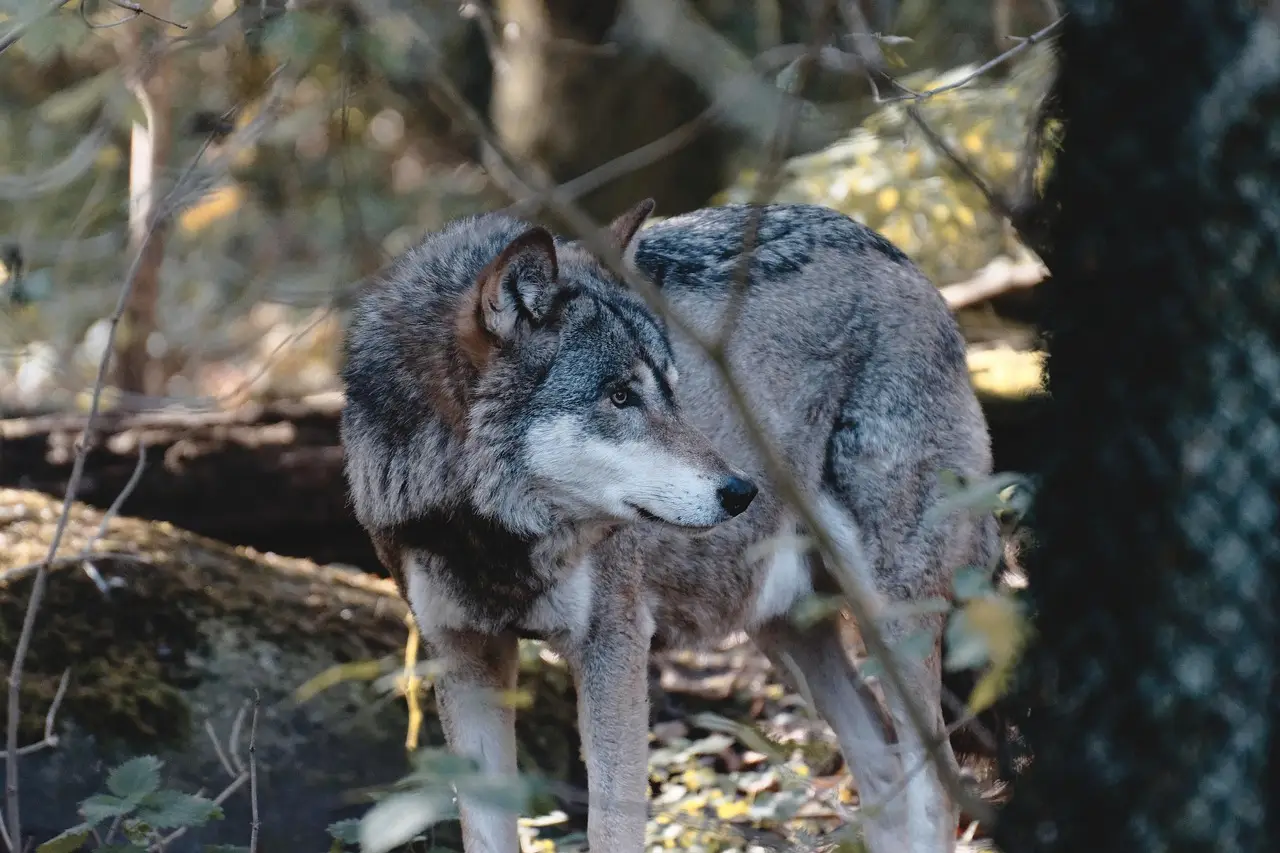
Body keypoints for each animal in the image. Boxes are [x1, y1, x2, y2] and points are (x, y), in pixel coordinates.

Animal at [339, 199, 999, 853]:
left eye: (670, 393)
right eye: (620, 396)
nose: (741, 491)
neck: (490, 537)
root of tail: (902, 260)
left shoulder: (613, 644)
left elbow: (612, 828)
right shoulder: (464, 655)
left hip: (891, 616)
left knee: (938, 785)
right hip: (785, 630)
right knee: (882, 765)